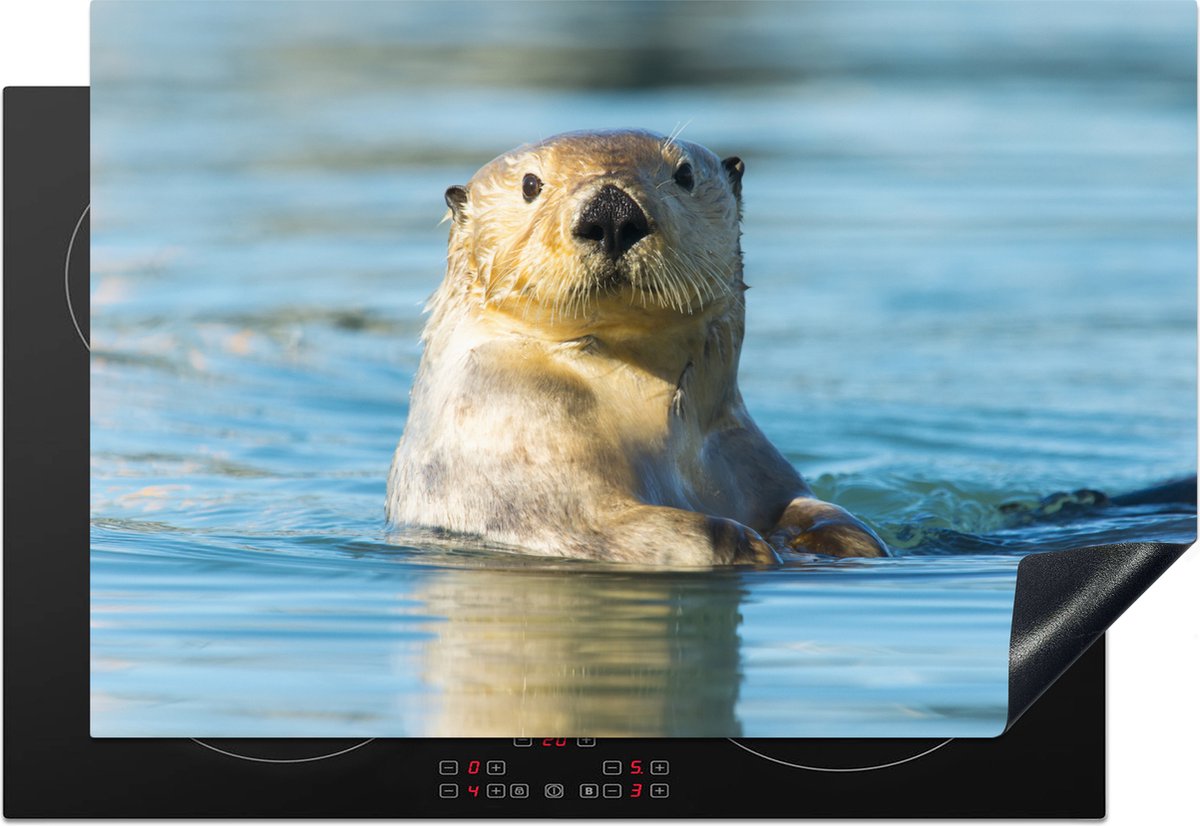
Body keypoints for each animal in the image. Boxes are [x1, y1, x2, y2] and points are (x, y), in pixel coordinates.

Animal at [386, 129, 887, 565]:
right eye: (530, 184)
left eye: (684, 174)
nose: (611, 211)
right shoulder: (517, 436)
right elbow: (604, 523)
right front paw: (749, 545)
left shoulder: (744, 451)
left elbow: (809, 506)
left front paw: (839, 538)